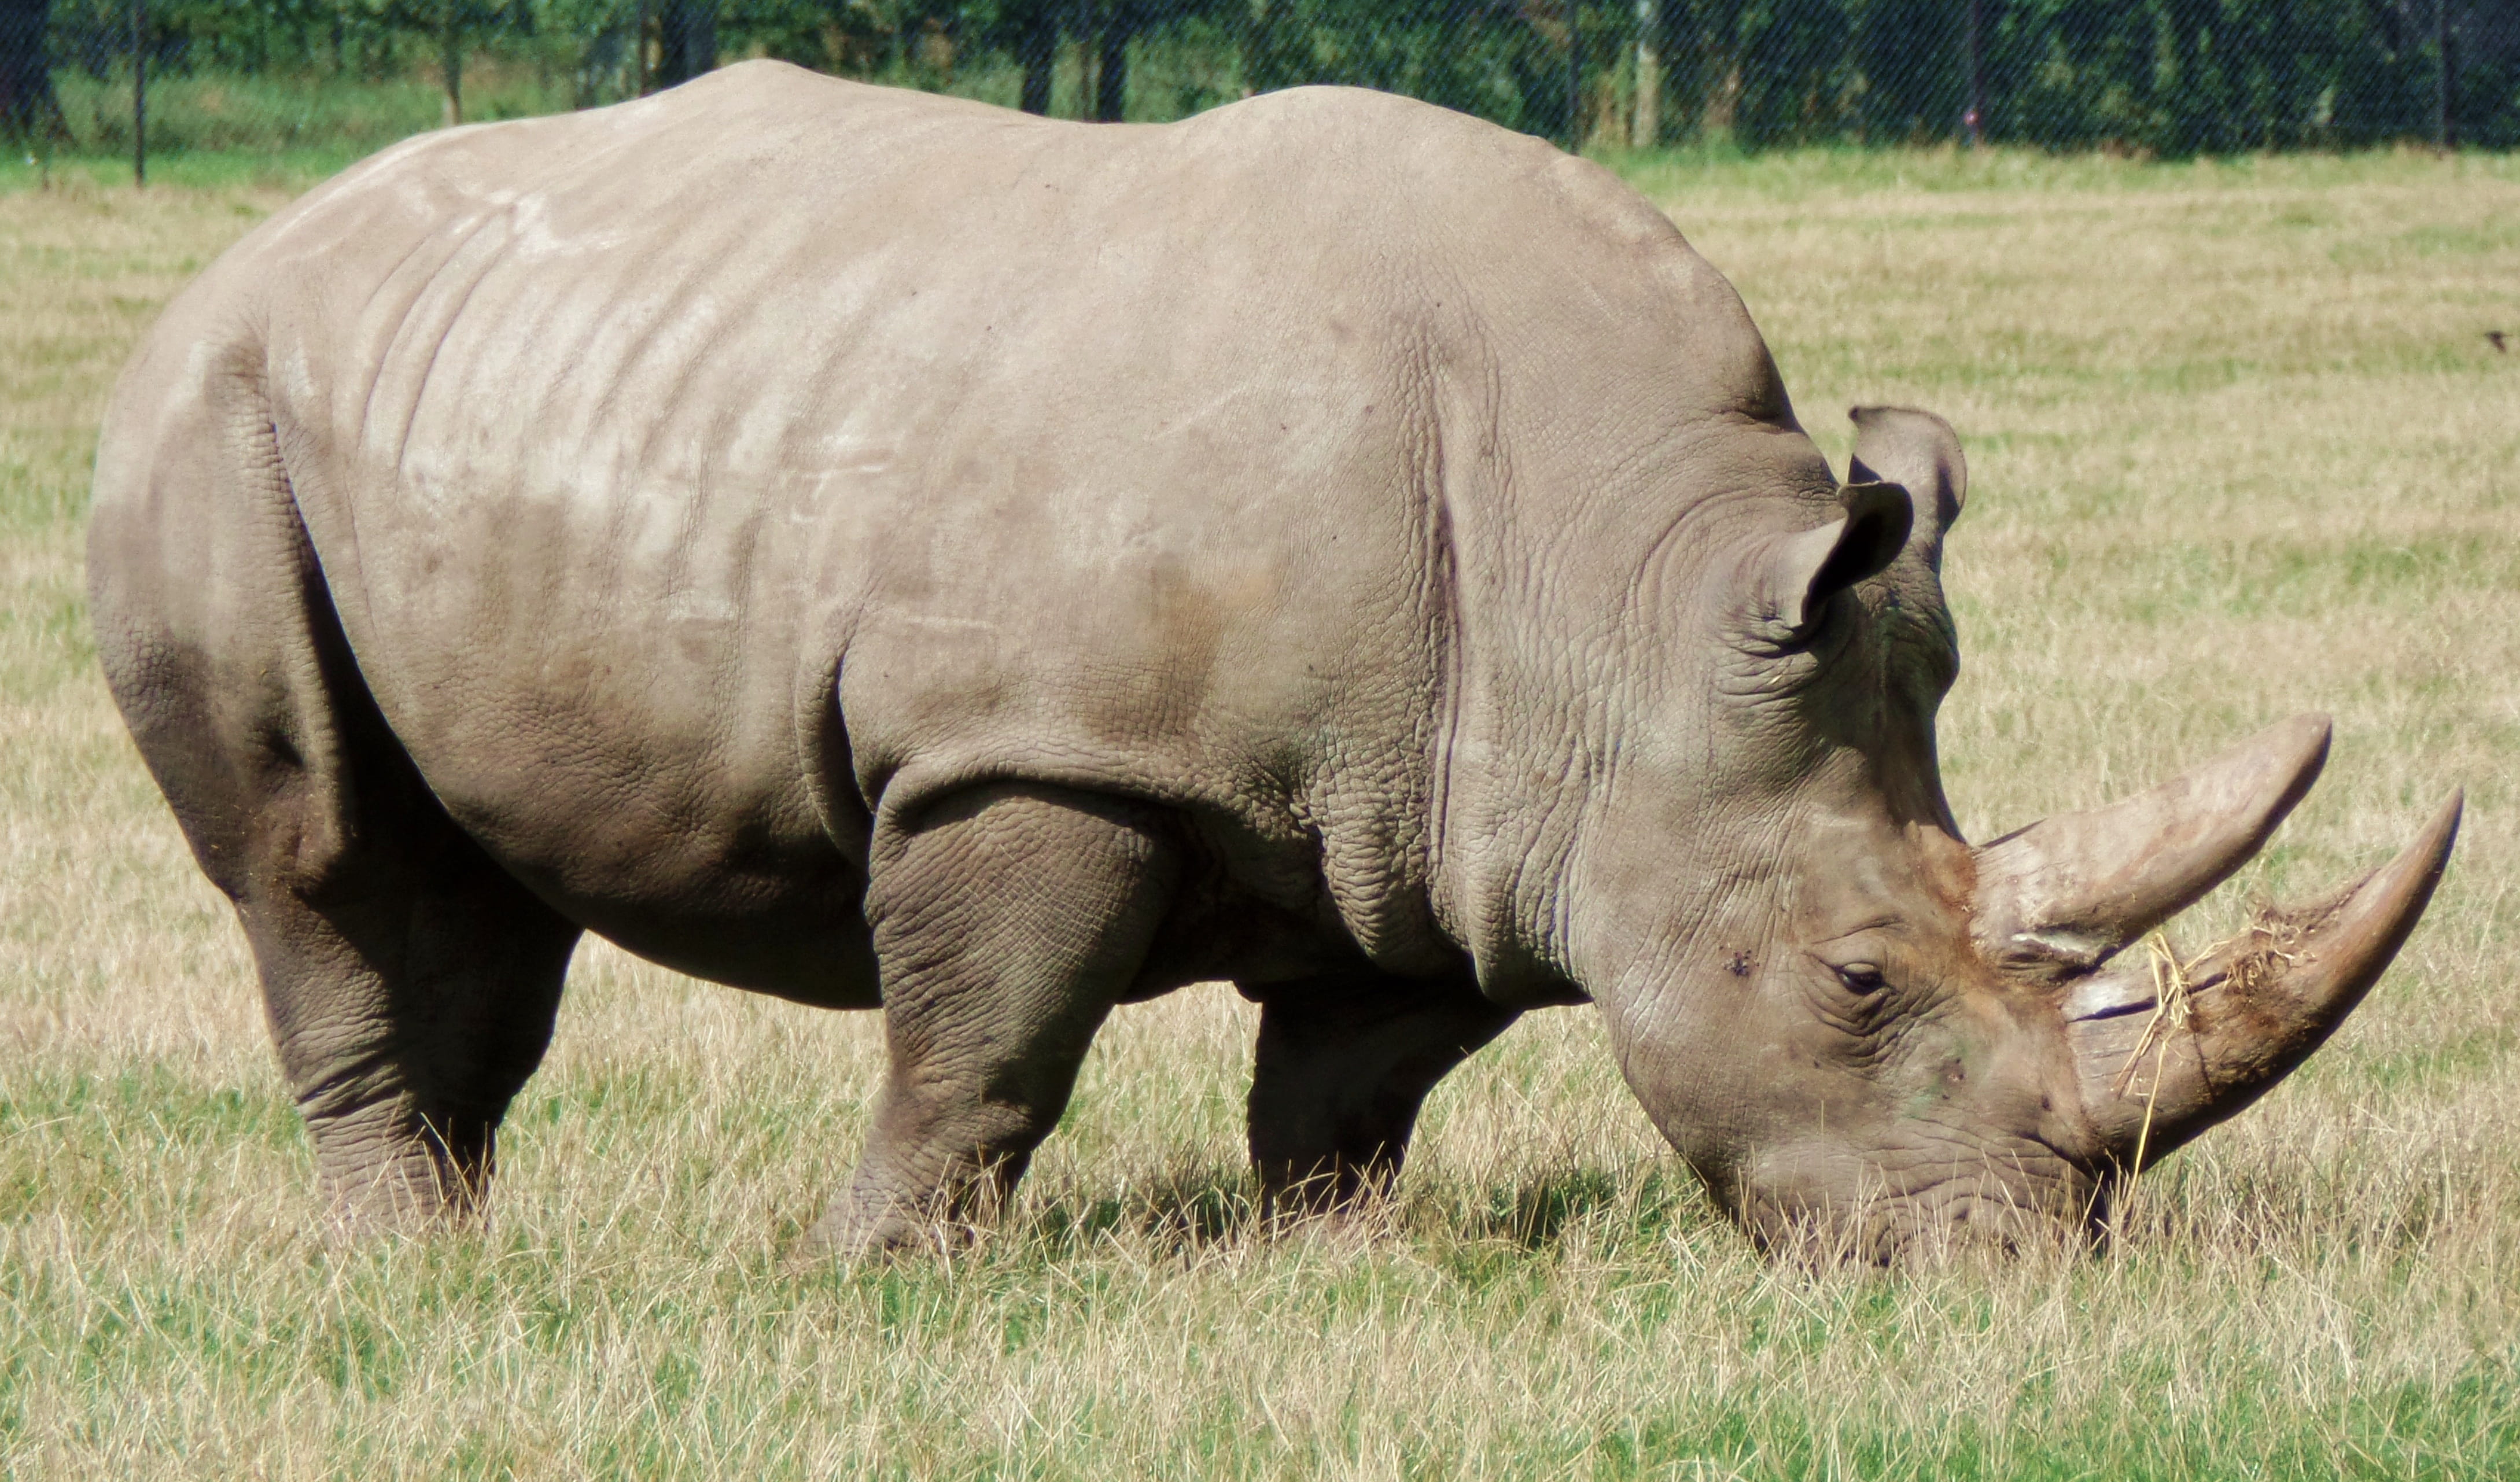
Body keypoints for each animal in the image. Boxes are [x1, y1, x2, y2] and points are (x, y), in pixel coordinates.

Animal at [88, 63, 2458, 1261]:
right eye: (1862, 982)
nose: (2021, 1261)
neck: (1630, 598)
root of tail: (258, 239)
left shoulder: (1468, 808)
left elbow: (1352, 1071)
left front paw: (1338, 1261)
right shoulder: (1044, 748)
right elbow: (990, 1041)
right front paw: (889, 1277)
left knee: (474, 888)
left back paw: (466, 1241)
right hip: (209, 409)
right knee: (318, 856)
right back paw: (401, 1263)